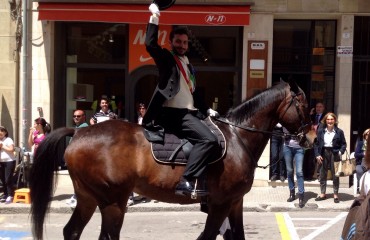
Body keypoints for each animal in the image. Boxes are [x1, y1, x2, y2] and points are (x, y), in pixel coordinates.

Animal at [29, 81, 316, 240]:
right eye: (303, 106)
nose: (311, 137)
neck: (238, 137)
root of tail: (79, 132)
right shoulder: (221, 203)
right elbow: (207, 236)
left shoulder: (235, 203)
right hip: (113, 201)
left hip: (89, 198)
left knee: (72, 231)